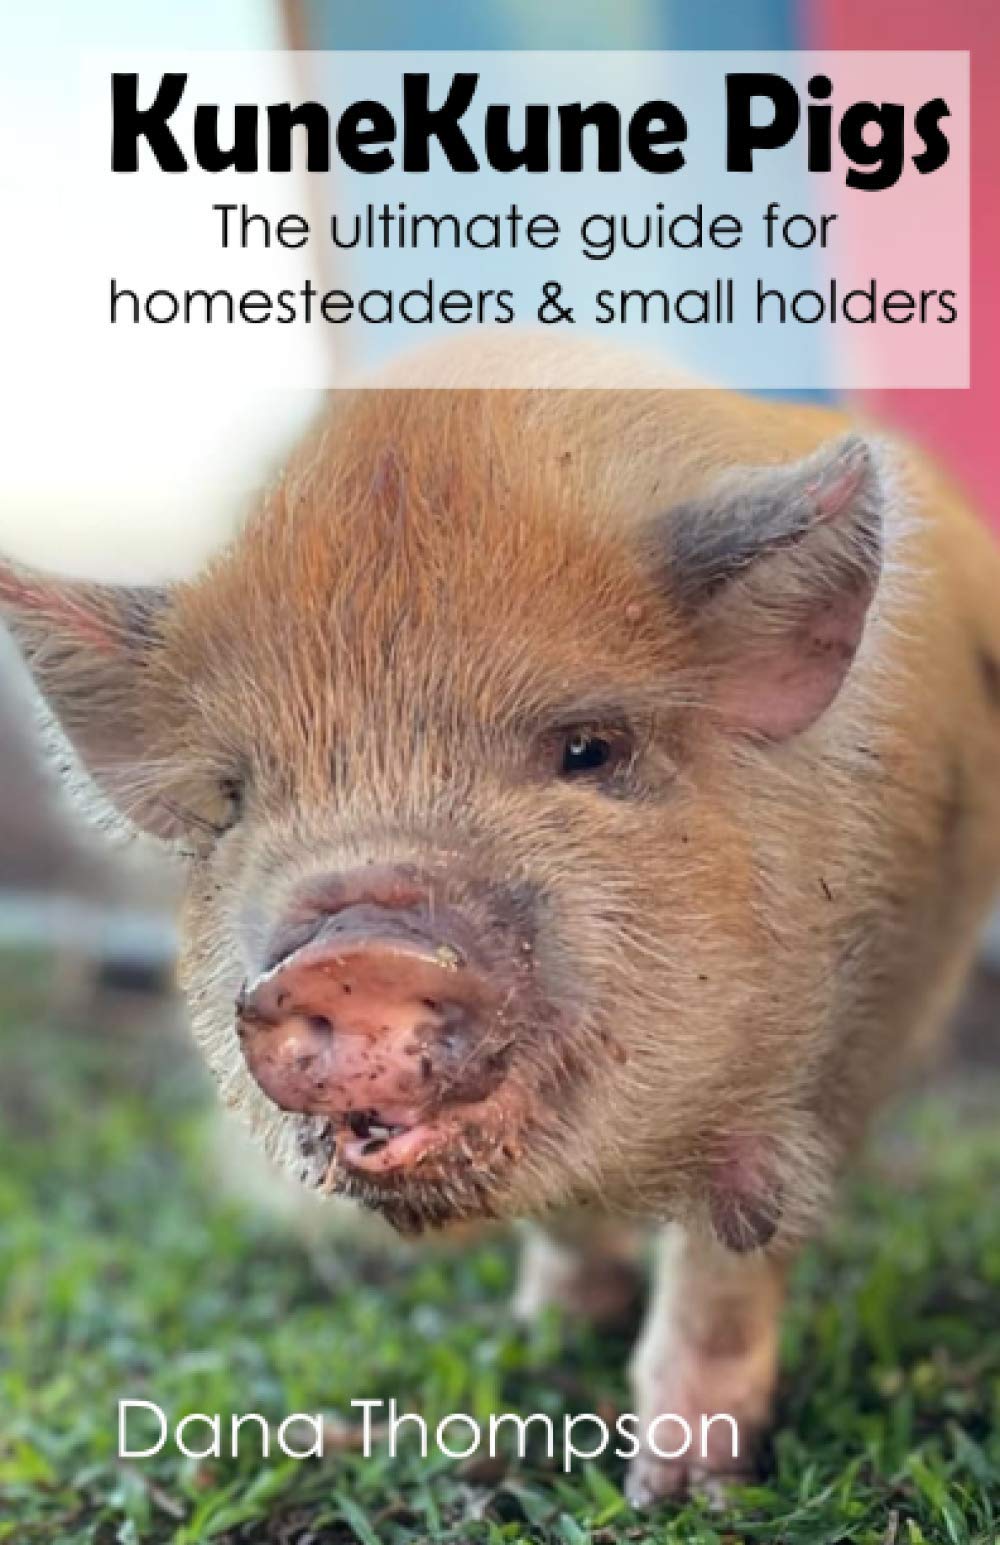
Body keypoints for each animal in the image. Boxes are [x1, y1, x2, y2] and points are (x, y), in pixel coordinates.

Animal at [2, 348, 999, 1505]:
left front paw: (678, 1490)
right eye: (239, 801)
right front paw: (545, 1332)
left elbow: (727, 1268)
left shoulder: (832, 1064)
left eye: (588, 750)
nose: (354, 956)